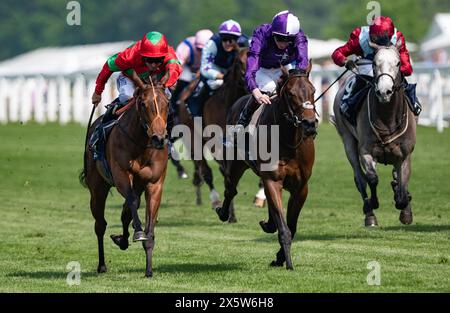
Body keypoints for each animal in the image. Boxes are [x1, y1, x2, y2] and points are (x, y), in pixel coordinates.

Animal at [79, 73, 169, 278]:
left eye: (167, 102)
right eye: (143, 104)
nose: (159, 138)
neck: (142, 144)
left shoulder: (154, 184)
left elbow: (146, 223)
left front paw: (149, 269)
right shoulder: (121, 176)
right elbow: (132, 203)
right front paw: (138, 233)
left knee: (125, 212)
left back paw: (122, 240)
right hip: (97, 188)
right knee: (100, 224)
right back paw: (102, 265)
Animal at [176, 47, 250, 222]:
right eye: (238, 61)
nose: (247, 79)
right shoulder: (216, 143)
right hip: (192, 137)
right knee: (206, 171)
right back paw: (215, 200)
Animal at [216, 64, 318, 268]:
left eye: (313, 91)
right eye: (291, 93)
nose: (310, 124)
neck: (288, 140)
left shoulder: (301, 188)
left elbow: (292, 225)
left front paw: (280, 257)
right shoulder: (273, 180)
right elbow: (285, 228)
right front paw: (288, 263)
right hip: (235, 165)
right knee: (230, 190)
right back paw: (223, 213)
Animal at [332, 40, 416, 228]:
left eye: (398, 63)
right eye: (374, 63)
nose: (384, 91)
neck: (387, 118)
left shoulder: (404, 154)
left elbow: (403, 182)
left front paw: (405, 208)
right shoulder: (366, 151)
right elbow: (372, 178)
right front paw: (374, 203)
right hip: (348, 141)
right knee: (359, 178)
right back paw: (369, 214)